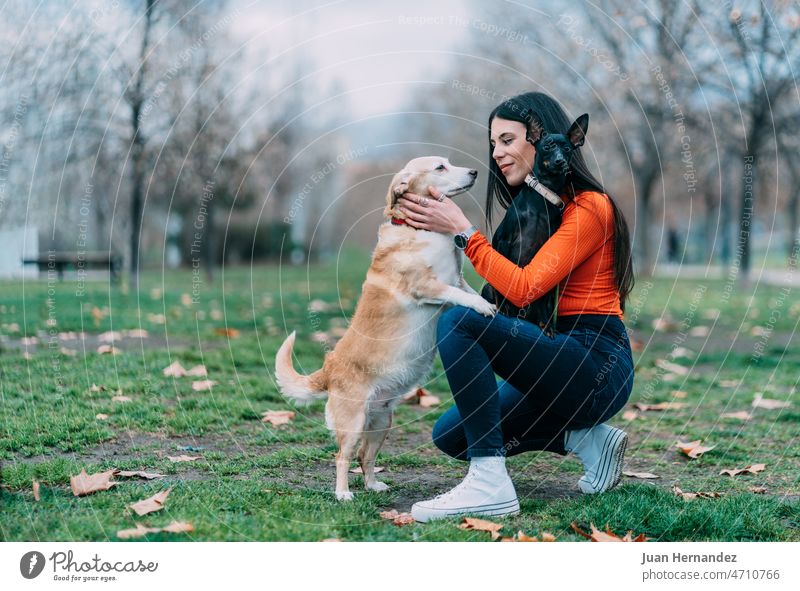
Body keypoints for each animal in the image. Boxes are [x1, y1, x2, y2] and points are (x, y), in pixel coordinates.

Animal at [274, 156, 494, 500]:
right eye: (440, 167)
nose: (474, 171)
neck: (420, 230)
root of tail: (329, 369)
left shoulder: (457, 281)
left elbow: (467, 291)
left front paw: (486, 303)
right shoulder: (429, 286)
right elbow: (461, 295)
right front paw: (483, 307)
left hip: (381, 422)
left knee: (366, 457)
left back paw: (373, 486)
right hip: (353, 424)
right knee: (343, 457)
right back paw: (343, 494)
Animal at [482, 108, 588, 336]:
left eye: (567, 149)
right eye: (547, 146)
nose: (560, 161)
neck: (544, 196)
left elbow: (545, 300)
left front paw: (547, 325)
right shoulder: (503, 242)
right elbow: (501, 288)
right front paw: (502, 309)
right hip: (488, 287)